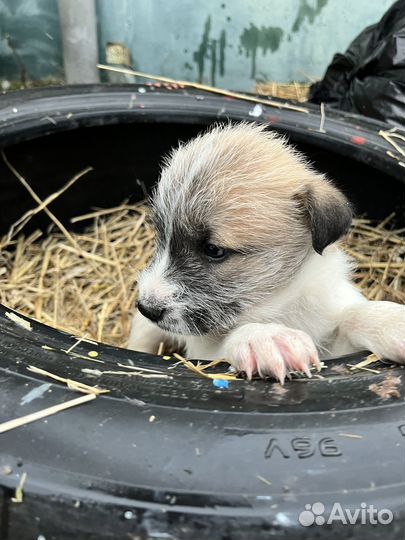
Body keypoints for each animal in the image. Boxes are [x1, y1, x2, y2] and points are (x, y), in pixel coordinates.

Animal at [128, 122, 404, 384]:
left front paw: (392, 321)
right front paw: (264, 338)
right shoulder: (203, 350)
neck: (277, 304)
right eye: (161, 235)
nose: (147, 307)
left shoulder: (334, 342)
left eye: (213, 250)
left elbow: (352, 316)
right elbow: (229, 339)